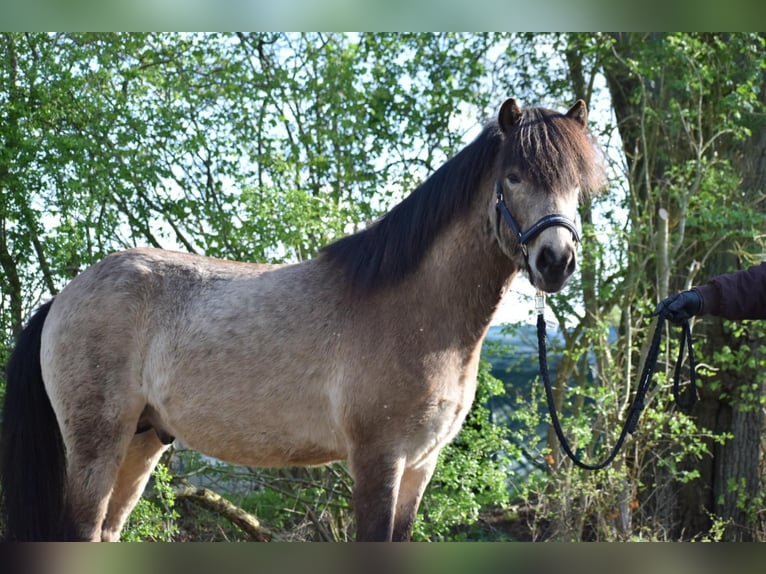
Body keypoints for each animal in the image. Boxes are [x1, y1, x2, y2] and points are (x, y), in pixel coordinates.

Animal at [1, 97, 608, 544]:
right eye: (514, 177)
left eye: (578, 183)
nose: (556, 261)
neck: (415, 314)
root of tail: (63, 297)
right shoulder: (378, 461)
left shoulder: (419, 467)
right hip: (96, 446)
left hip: (143, 441)